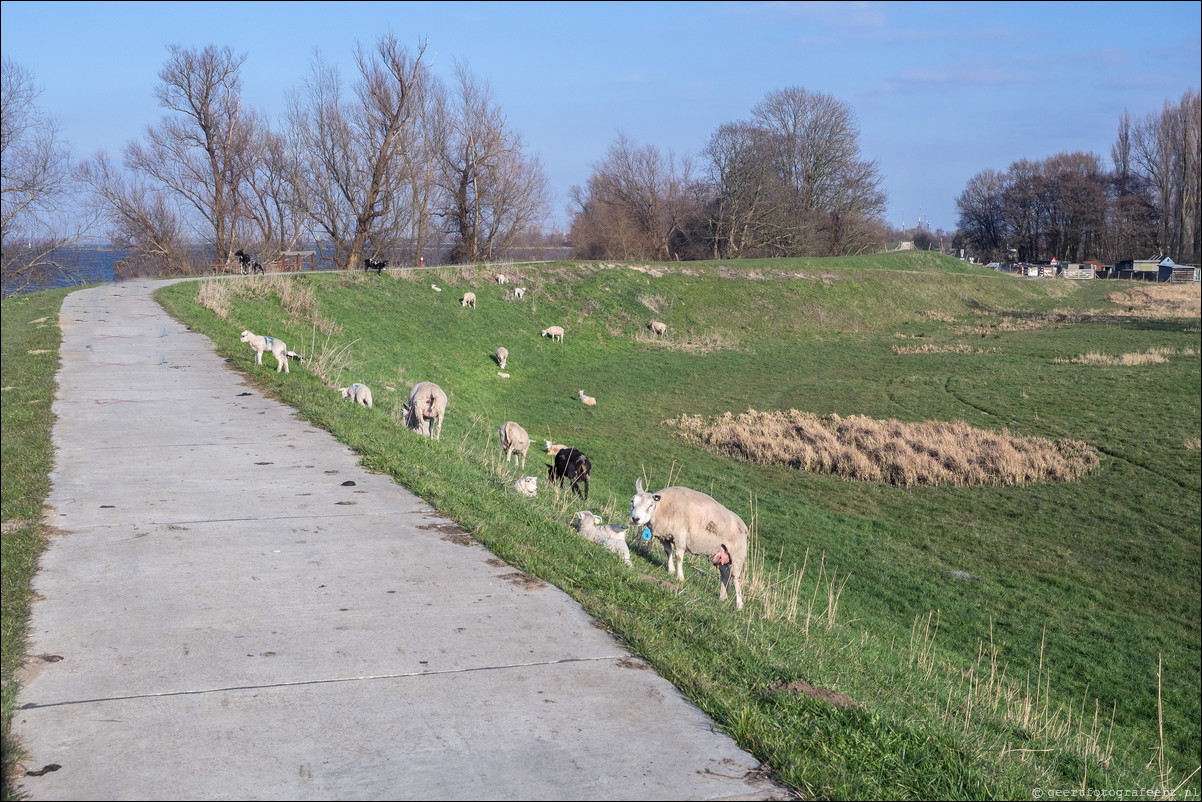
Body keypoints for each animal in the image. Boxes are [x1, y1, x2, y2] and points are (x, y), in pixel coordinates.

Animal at [625, 476, 745, 608]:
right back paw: (723, 597)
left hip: (738, 554)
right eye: (632, 501)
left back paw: (739, 604)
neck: (663, 507)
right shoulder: (664, 537)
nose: (635, 519)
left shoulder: (680, 535)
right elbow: (668, 552)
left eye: (650, 505)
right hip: (720, 553)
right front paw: (671, 570)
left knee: (736, 578)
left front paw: (680, 577)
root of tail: (743, 524)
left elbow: (678, 557)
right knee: (726, 573)